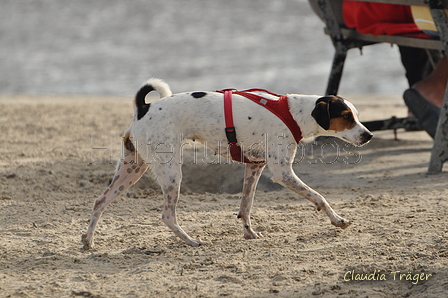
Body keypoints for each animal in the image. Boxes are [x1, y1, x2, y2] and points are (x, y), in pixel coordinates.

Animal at [82, 78, 372, 248]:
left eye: (356, 115)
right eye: (347, 116)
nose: (368, 135)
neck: (293, 113)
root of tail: (144, 109)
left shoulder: (255, 166)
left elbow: (246, 205)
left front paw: (249, 233)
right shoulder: (282, 172)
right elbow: (319, 197)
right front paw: (338, 220)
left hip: (131, 170)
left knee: (99, 201)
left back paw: (88, 240)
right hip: (171, 174)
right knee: (167, 215)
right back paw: (191, 241)